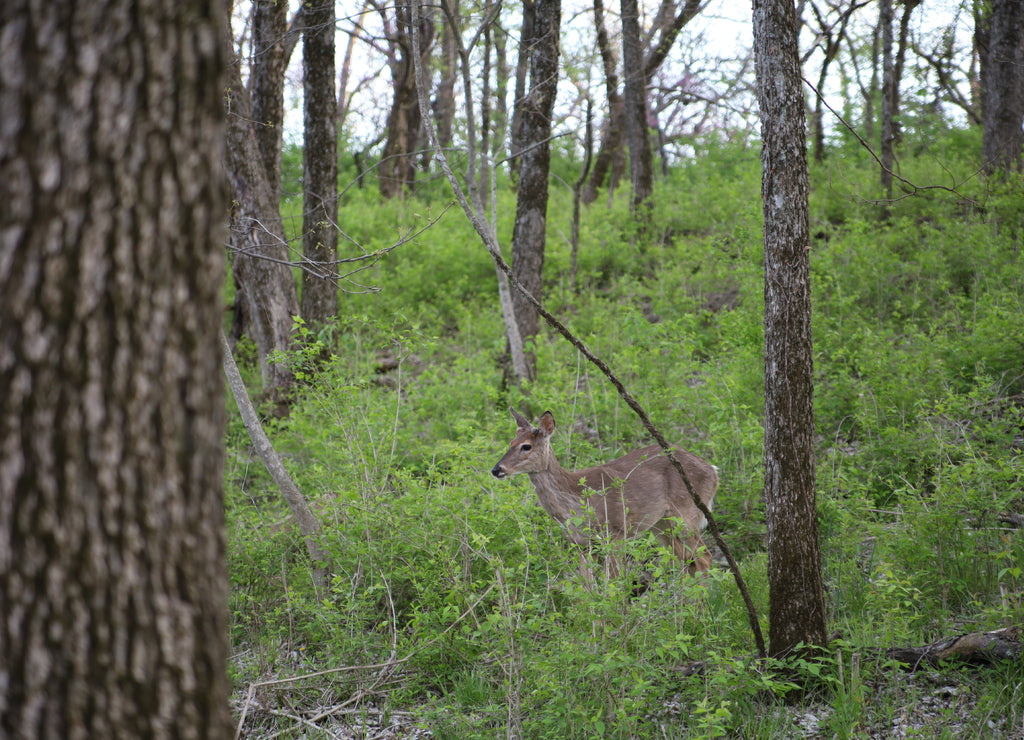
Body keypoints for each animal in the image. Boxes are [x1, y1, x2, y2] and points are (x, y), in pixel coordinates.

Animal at [489, 411, 720, 577]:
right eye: (510, 443)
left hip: (686, 514)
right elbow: (588, 589)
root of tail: (713, 470)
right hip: (661, 524)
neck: (575, 501)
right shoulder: (579, 544)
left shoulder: (616, 532)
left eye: (526, 446)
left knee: (704, 558)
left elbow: (615, 584)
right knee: (687, 561)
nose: (496, 469)